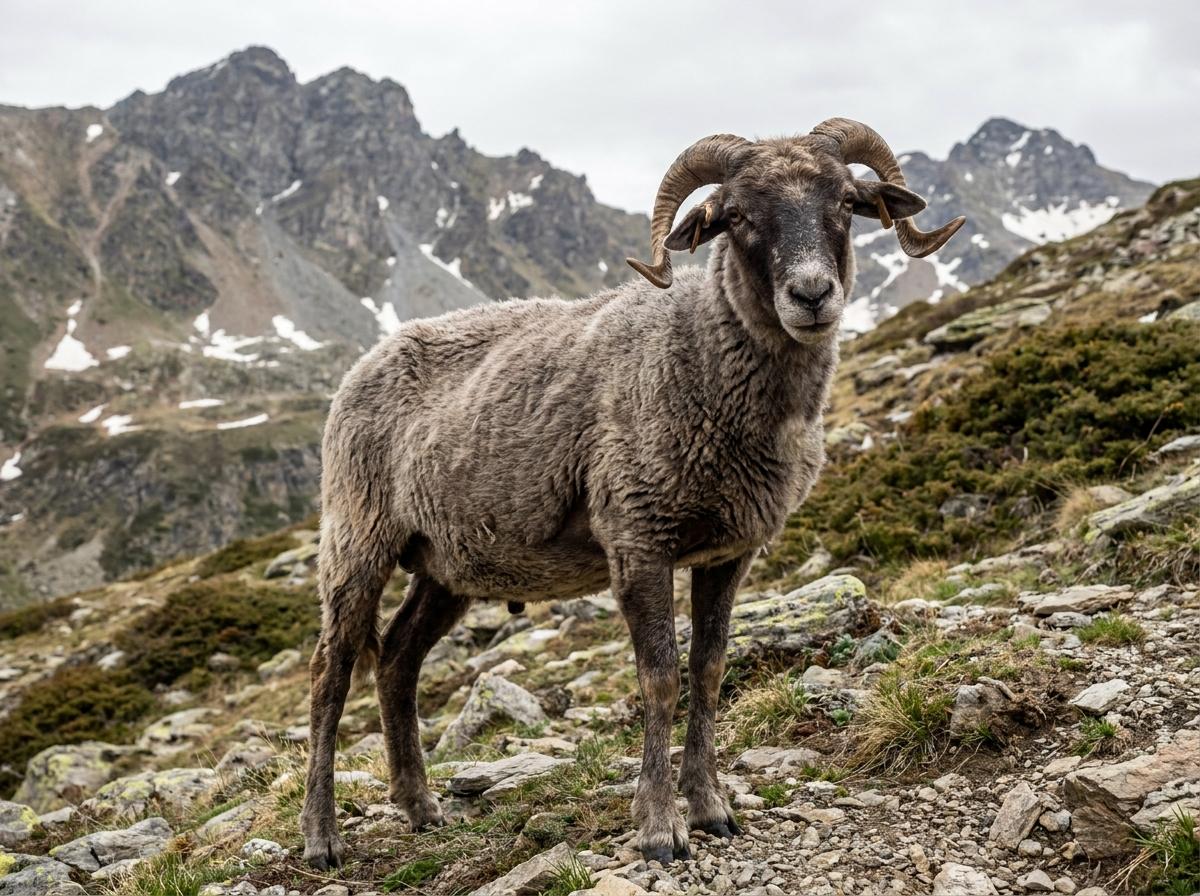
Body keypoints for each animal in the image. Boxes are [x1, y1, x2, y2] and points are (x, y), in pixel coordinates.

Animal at [300, 117, 965, 868]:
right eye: (736, 216)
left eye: (848, 202)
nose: (812, 295)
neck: (697, 355)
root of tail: (366, 363)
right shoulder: (639, 540)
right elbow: (661, 678)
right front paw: (657, 828)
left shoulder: (727, 555)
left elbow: (709, 670)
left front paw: (711, 808)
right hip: (358, 538)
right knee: (330, 674)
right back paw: (321, 836)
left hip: (447, 563)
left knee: (398, 660)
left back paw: (420, 807)